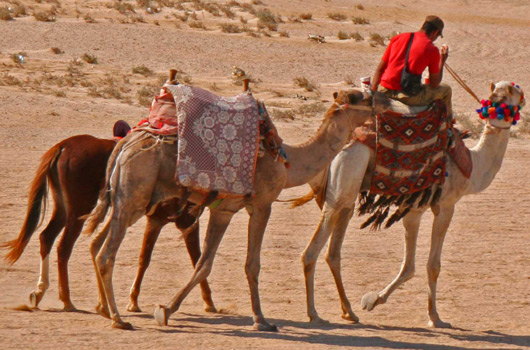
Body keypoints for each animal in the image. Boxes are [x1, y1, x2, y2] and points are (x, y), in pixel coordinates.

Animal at [0, 135, 214, 314]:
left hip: (62, 209)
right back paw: (67, 300)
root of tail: (63, 146)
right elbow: (196, 259)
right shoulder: (184, 222)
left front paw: (133, 300)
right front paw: (208, 301)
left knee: (46, 237)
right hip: (78, 212)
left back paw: (41, 291)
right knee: (63, 247)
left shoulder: (157, 220)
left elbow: (144, 259)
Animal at [82, 87, 388, 330]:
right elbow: (252, 264)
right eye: (363, 97)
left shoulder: (224, 209)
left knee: (96, 243)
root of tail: (125, 144)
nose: (385, 101)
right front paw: (261, 320)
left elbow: (204, 263)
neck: (288, 162)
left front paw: (166, 309)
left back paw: (103, 309)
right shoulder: (262, 204)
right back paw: (118, 318)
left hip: (125, 200)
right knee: (106, 254)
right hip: (134, 193)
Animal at [300, 81, 520, 328]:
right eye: (516, 91)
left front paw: (373, 300)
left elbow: (409, 266)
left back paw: (348, 311)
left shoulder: (414, 209)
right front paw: (435, 317)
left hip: (345, 198)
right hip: (341, 190)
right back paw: (315, 314)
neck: (473, 165)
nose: (522, 96)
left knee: (332, 253)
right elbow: (432, 266)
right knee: (312, 251)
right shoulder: (446, 205)